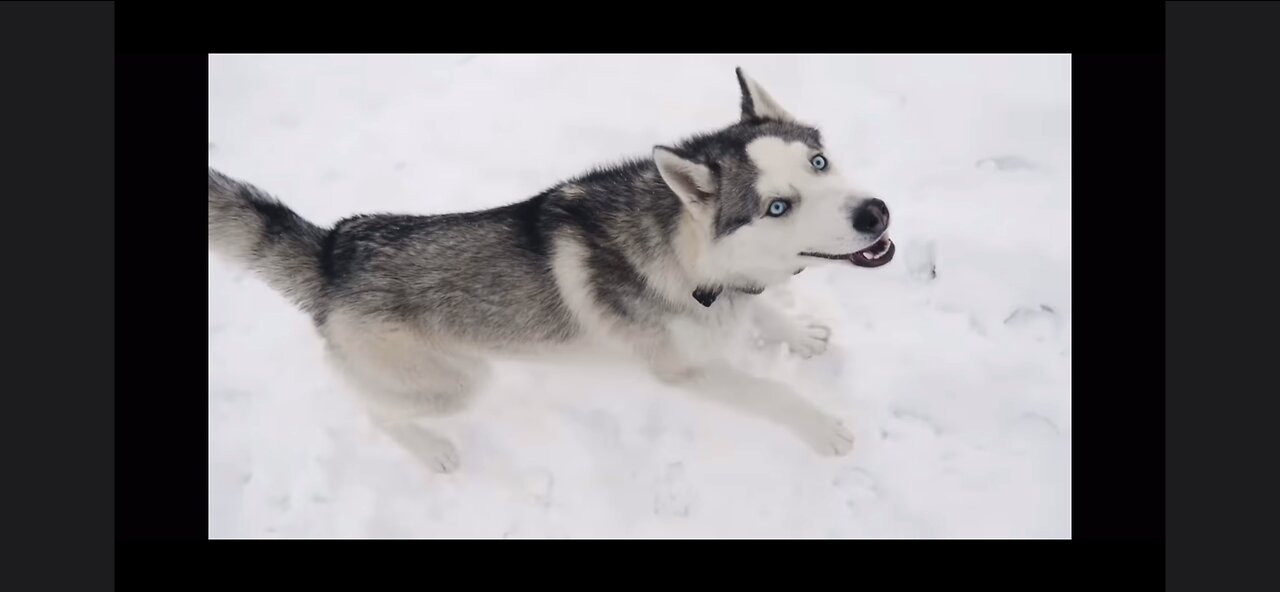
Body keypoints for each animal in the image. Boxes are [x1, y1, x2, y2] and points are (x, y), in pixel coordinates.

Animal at [209, 68, 890, 471]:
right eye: (778, 206)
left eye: (819, 162)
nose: (875, 213)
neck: (689, 256)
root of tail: (333, 250)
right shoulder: (684, 373)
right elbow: (771, 392)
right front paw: (821, 429)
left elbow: (765, 306)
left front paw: (796, 331)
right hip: (454, 383)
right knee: (376, 413)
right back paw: (432, 451)